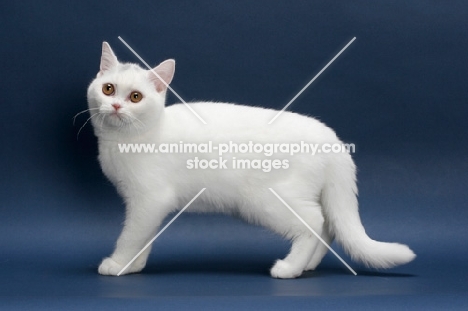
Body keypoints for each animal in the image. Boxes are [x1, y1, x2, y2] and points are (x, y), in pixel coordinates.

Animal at [86, 42, 414, 280]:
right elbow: (145, 236)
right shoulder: (147, 206)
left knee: (314, 222)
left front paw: (118, 263)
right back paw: (308, 264)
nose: (115, 106)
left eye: (136, 97)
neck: (124, 141)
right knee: (327, 226)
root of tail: (332, 138)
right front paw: (134, 265)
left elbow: (131, 235)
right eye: (108, 89)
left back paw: (290, 268)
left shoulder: (150, 200)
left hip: (265, 200)